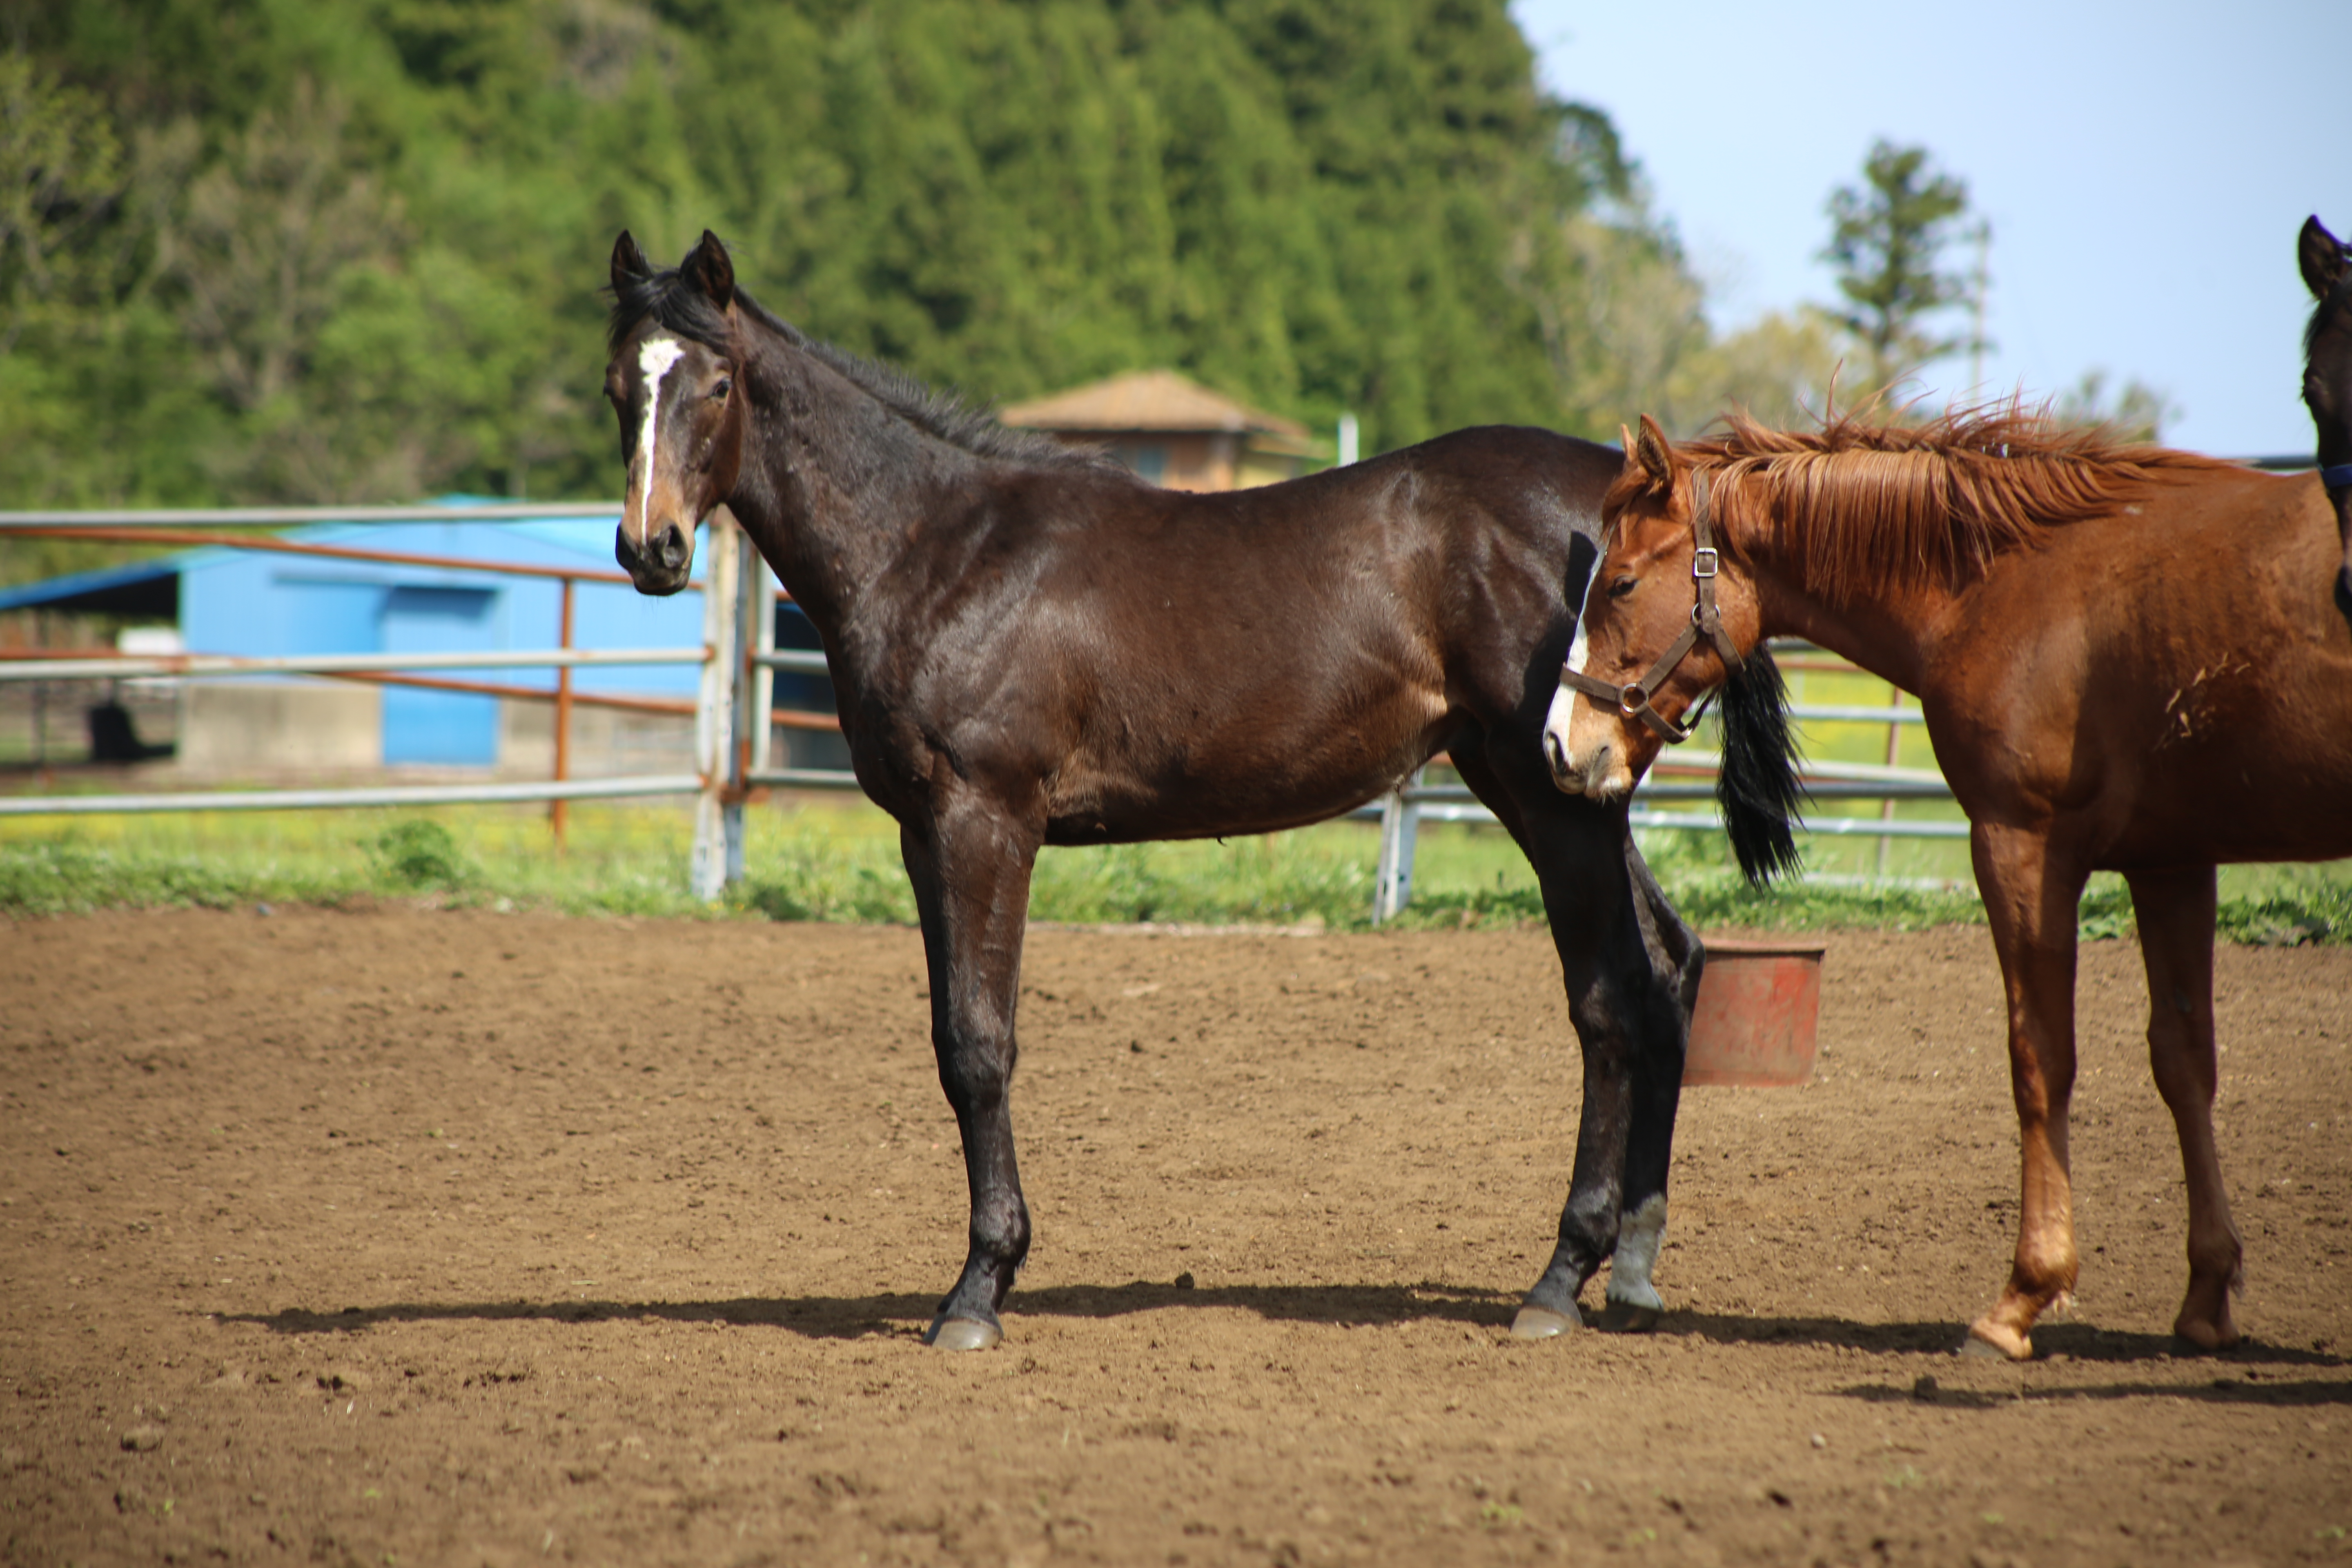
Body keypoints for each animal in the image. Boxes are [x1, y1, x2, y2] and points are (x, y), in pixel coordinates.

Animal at [607, 230, 1712, 1354]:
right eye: (620, 387)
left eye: (717, 383)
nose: (650, 551)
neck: (938, 552)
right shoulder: (925, 834)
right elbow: (954, 1037)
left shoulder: (983, 821)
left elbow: (977, 1046)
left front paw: (977, 1291)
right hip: (1553, 780)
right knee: (1668, 969)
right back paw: (1631, 1268)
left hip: (1553, 796)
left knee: (1609, 1001)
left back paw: (1558, 1278)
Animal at [1543, 404, 2352, 1363]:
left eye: (1622, 584)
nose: (1559, 744)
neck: (2009, 582)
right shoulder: (2173, 862)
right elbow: (2185, 1063)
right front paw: (2206, 1296)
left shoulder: (2021, 845)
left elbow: (2042, 1061)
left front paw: (2021, 1299)